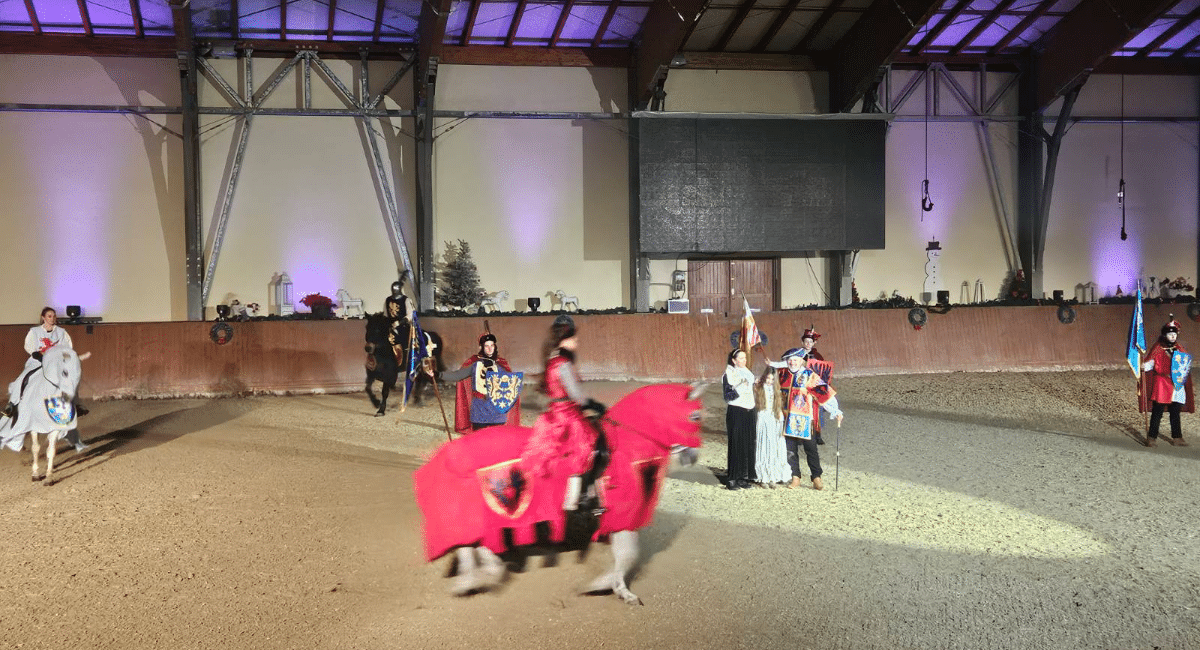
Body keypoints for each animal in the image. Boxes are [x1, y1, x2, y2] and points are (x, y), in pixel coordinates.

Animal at [0, 345, 89, 484]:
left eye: (79, 371)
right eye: (64, 372)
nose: (68, 396)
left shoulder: (55, 427)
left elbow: (51, 450)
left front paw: (49, 476)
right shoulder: (33, 426)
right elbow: (36, 448)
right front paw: (35, 474)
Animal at [414, 382, 705, 604]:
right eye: (696, 418)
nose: (692, 458)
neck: (626, 444)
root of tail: (450, 452)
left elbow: (626, 554)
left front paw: (615, 587)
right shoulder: (621, 515)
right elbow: (629, 553)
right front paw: (607, 586)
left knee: (474, 545)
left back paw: (479, 576)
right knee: (471, 543)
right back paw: (476, 579)